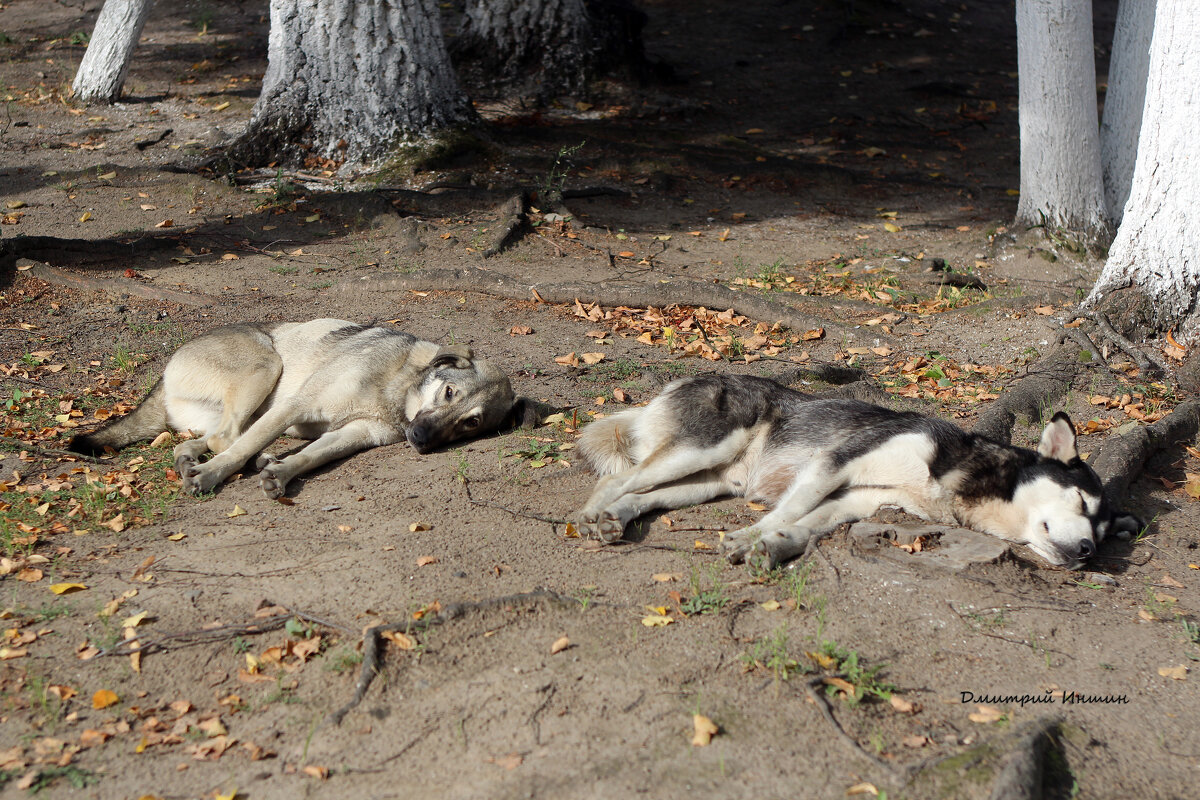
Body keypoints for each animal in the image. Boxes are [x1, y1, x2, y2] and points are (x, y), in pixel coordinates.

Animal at [576, 374, 1137, 568]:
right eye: (1082, 502)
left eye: (1102, 535)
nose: (1086, 552)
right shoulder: (835, 463)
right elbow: (789, 511)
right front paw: (749, 537)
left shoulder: (853, 499)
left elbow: (802, 526)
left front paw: (770, 546)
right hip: (705, 448)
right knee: (616, 479)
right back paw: (589, 516)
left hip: (707, 482)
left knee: (642, 494)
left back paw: (613, 519)